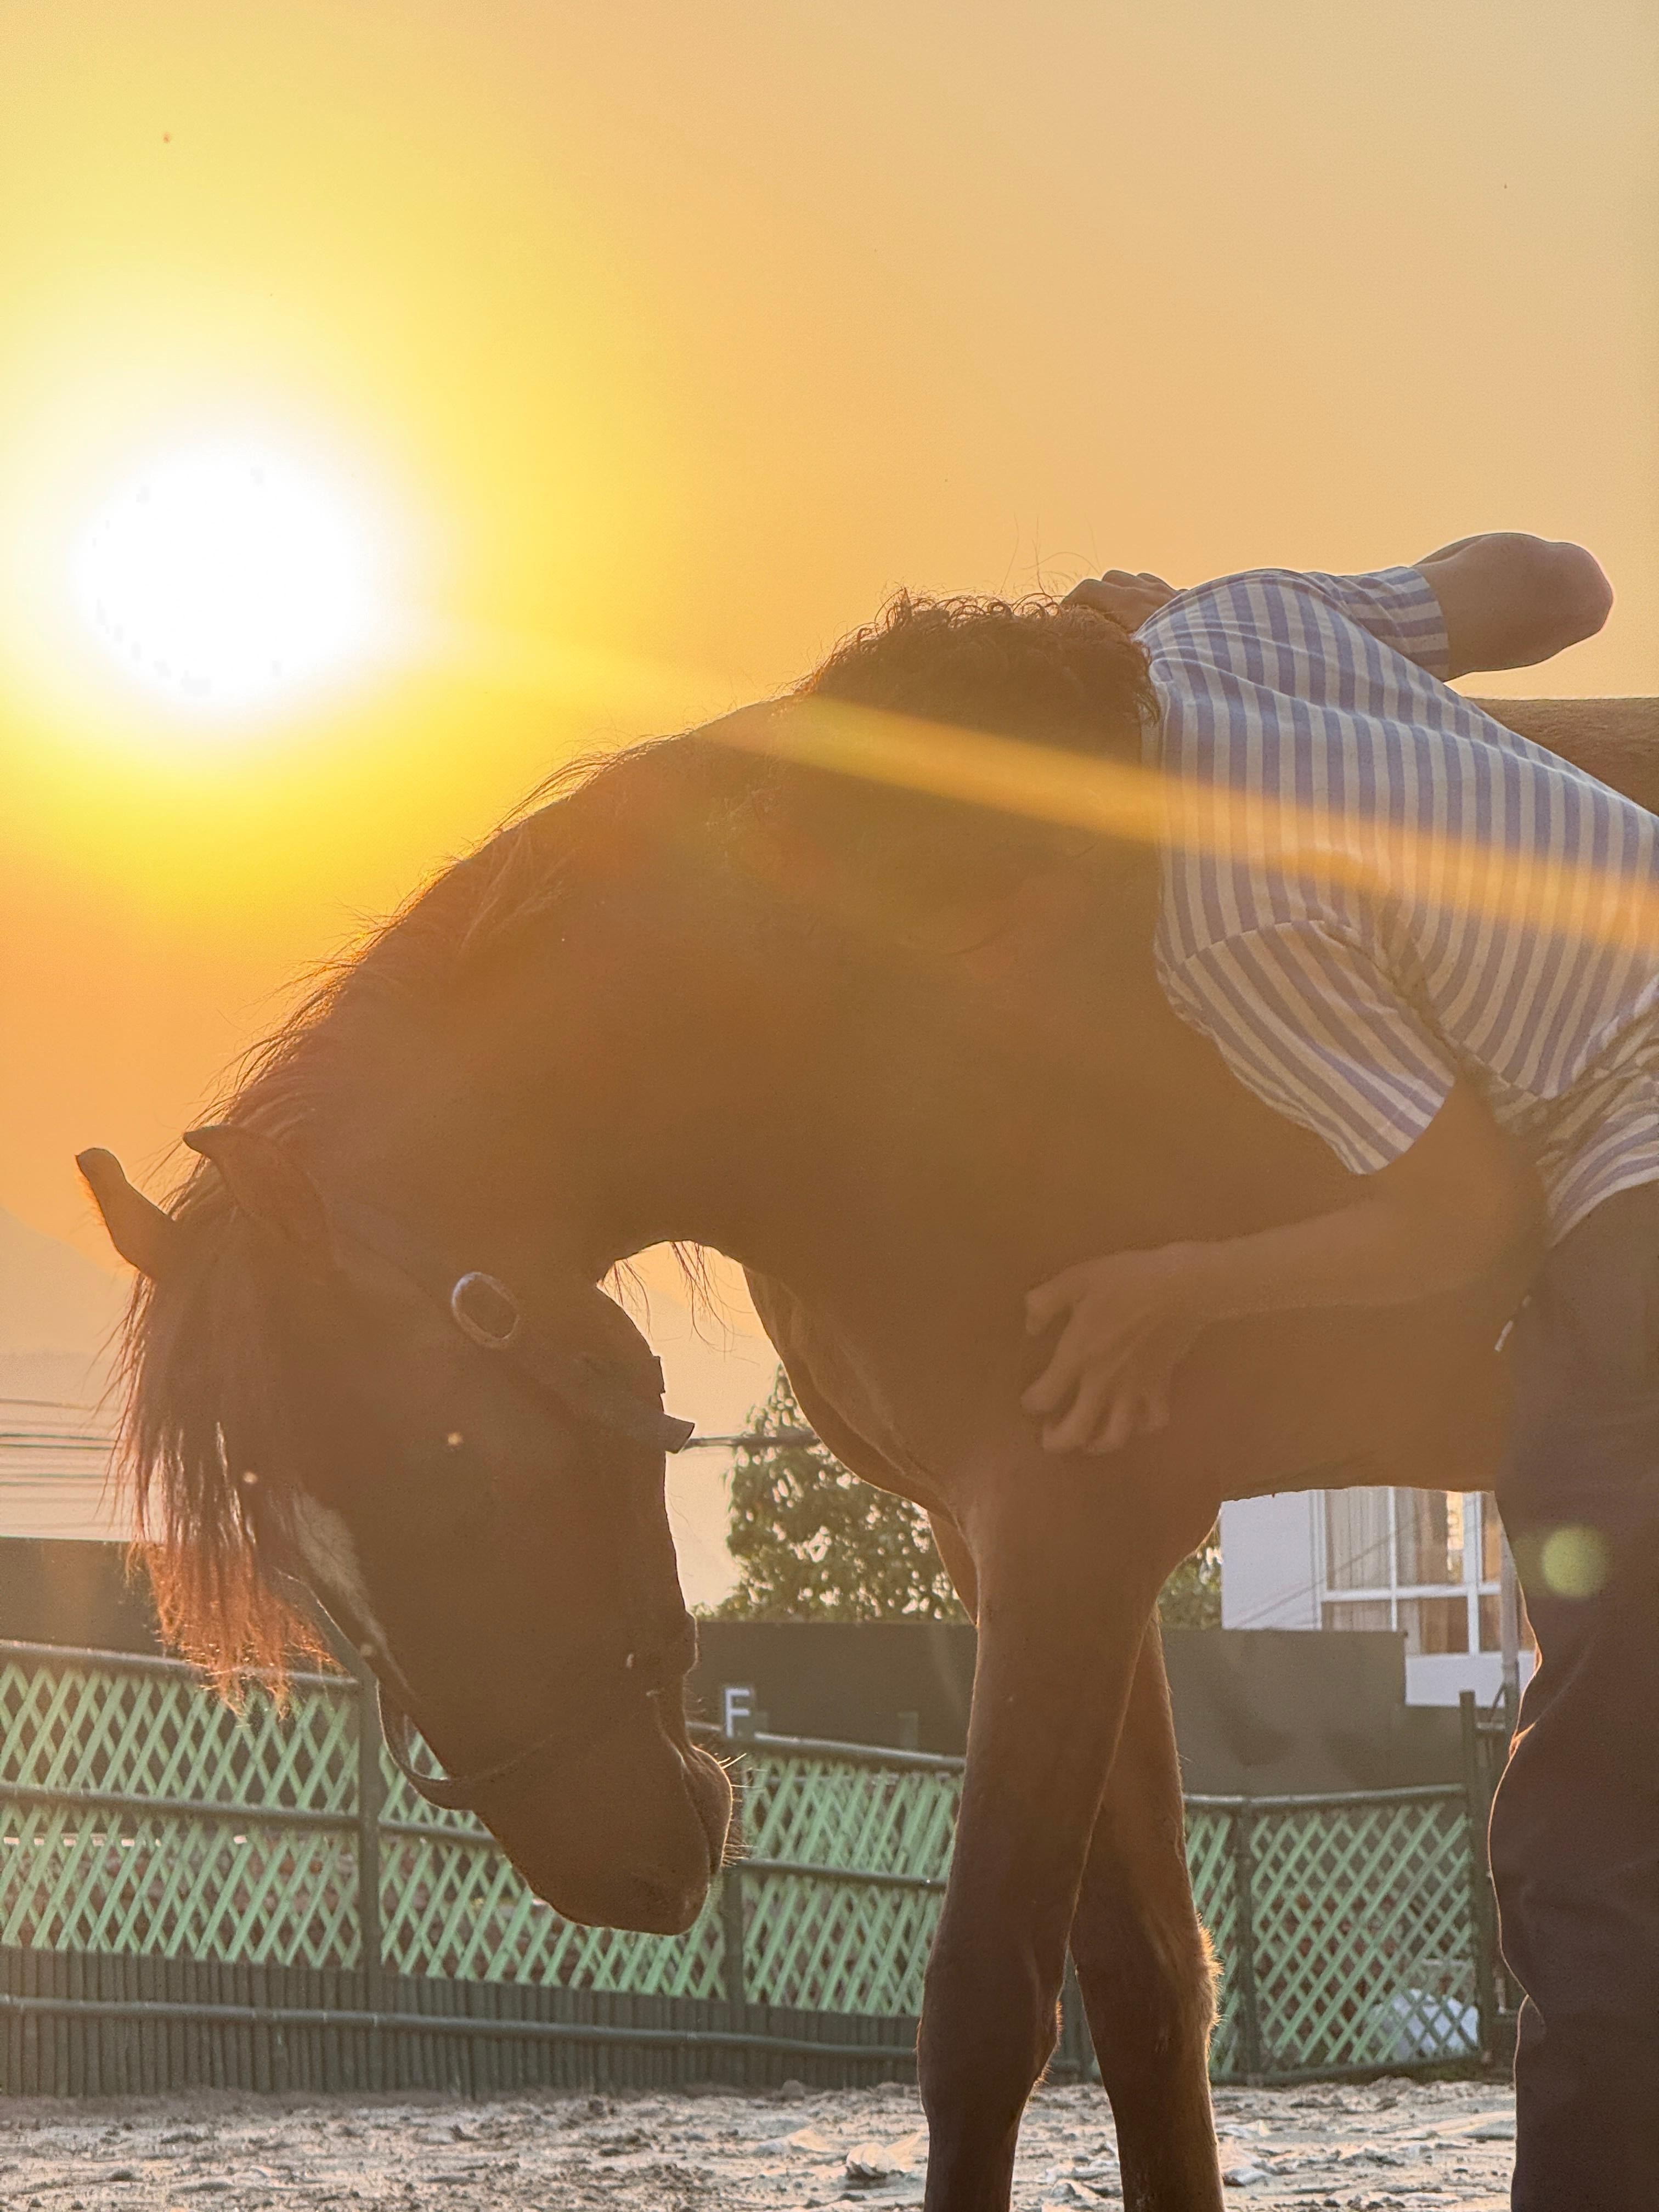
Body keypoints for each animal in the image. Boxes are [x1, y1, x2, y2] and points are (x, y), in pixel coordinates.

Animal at [78, 630, 1658, 2210]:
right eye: (309, 1569)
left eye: (453, 1484)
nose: (610, 1874)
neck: (890, 1027)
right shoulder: (1021, 1550)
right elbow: (1147, 1986)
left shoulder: (1071, 1534)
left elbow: (984, 2002)